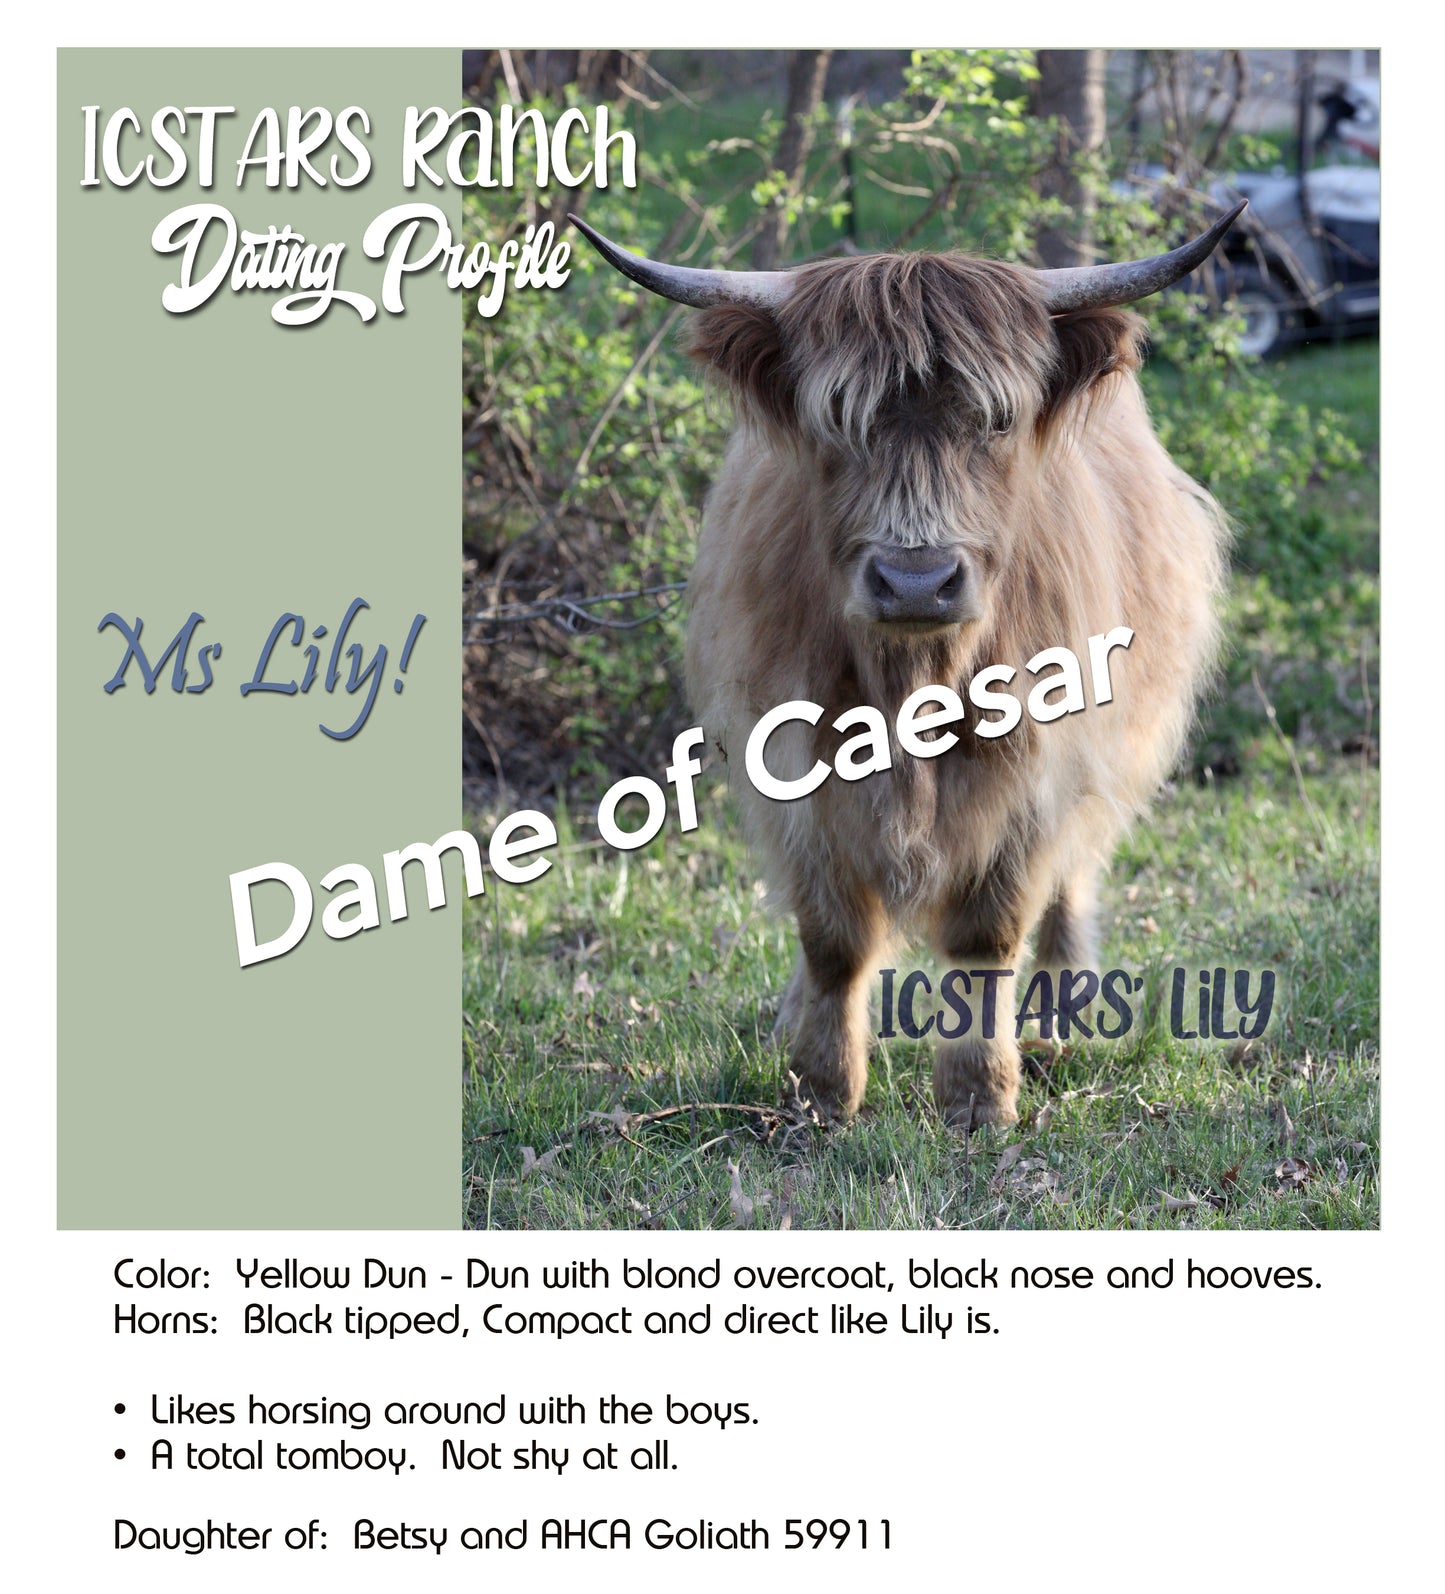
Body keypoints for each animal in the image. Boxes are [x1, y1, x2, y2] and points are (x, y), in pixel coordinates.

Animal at [571, 202, 1242, 1129]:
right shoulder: (793, 772)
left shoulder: (1034, 778)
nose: (916, 580)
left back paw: (1057, 1028)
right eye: (834, 420)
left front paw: (978, 1095)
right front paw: (820, 1087)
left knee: (1071, 885)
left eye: (997, 420)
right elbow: (832, 938)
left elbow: (988, 933)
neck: (911, 684)